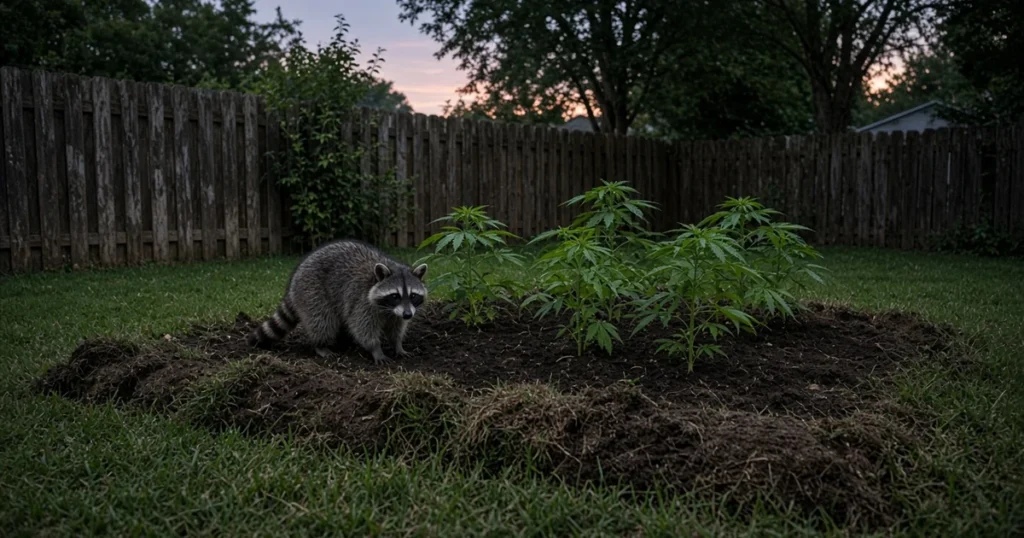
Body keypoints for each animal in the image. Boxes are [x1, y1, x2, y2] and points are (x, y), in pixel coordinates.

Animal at [247, 239, 428, 364]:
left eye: (413, 295)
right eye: (395, 296)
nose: (408, 315)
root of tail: (292, 284)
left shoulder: (397, 313)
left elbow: (396, 328)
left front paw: (398, 345)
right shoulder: (362, 302)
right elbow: (362, 327)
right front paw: (376, 349)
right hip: (312, 292)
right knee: (323, 320)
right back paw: (320, 345)